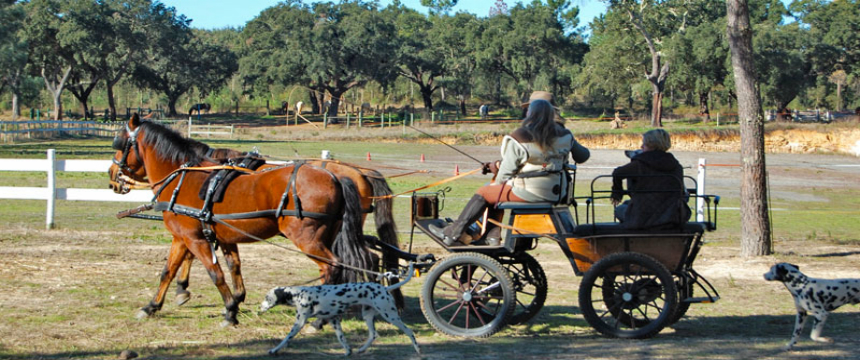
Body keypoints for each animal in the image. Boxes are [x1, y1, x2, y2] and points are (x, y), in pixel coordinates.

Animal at [258, 264, 420, 354]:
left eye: (267, 297)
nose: (259, 309)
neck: (299, 294)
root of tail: (385, 288)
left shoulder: (299, 323)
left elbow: (286, 338)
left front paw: (274, 350)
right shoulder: (334, 321)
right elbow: (341, 339)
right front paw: (348, 351)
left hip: (390, 316)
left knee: (409, 332)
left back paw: (418, 350)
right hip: (367, 316)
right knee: (373, 335)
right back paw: (361, 349)